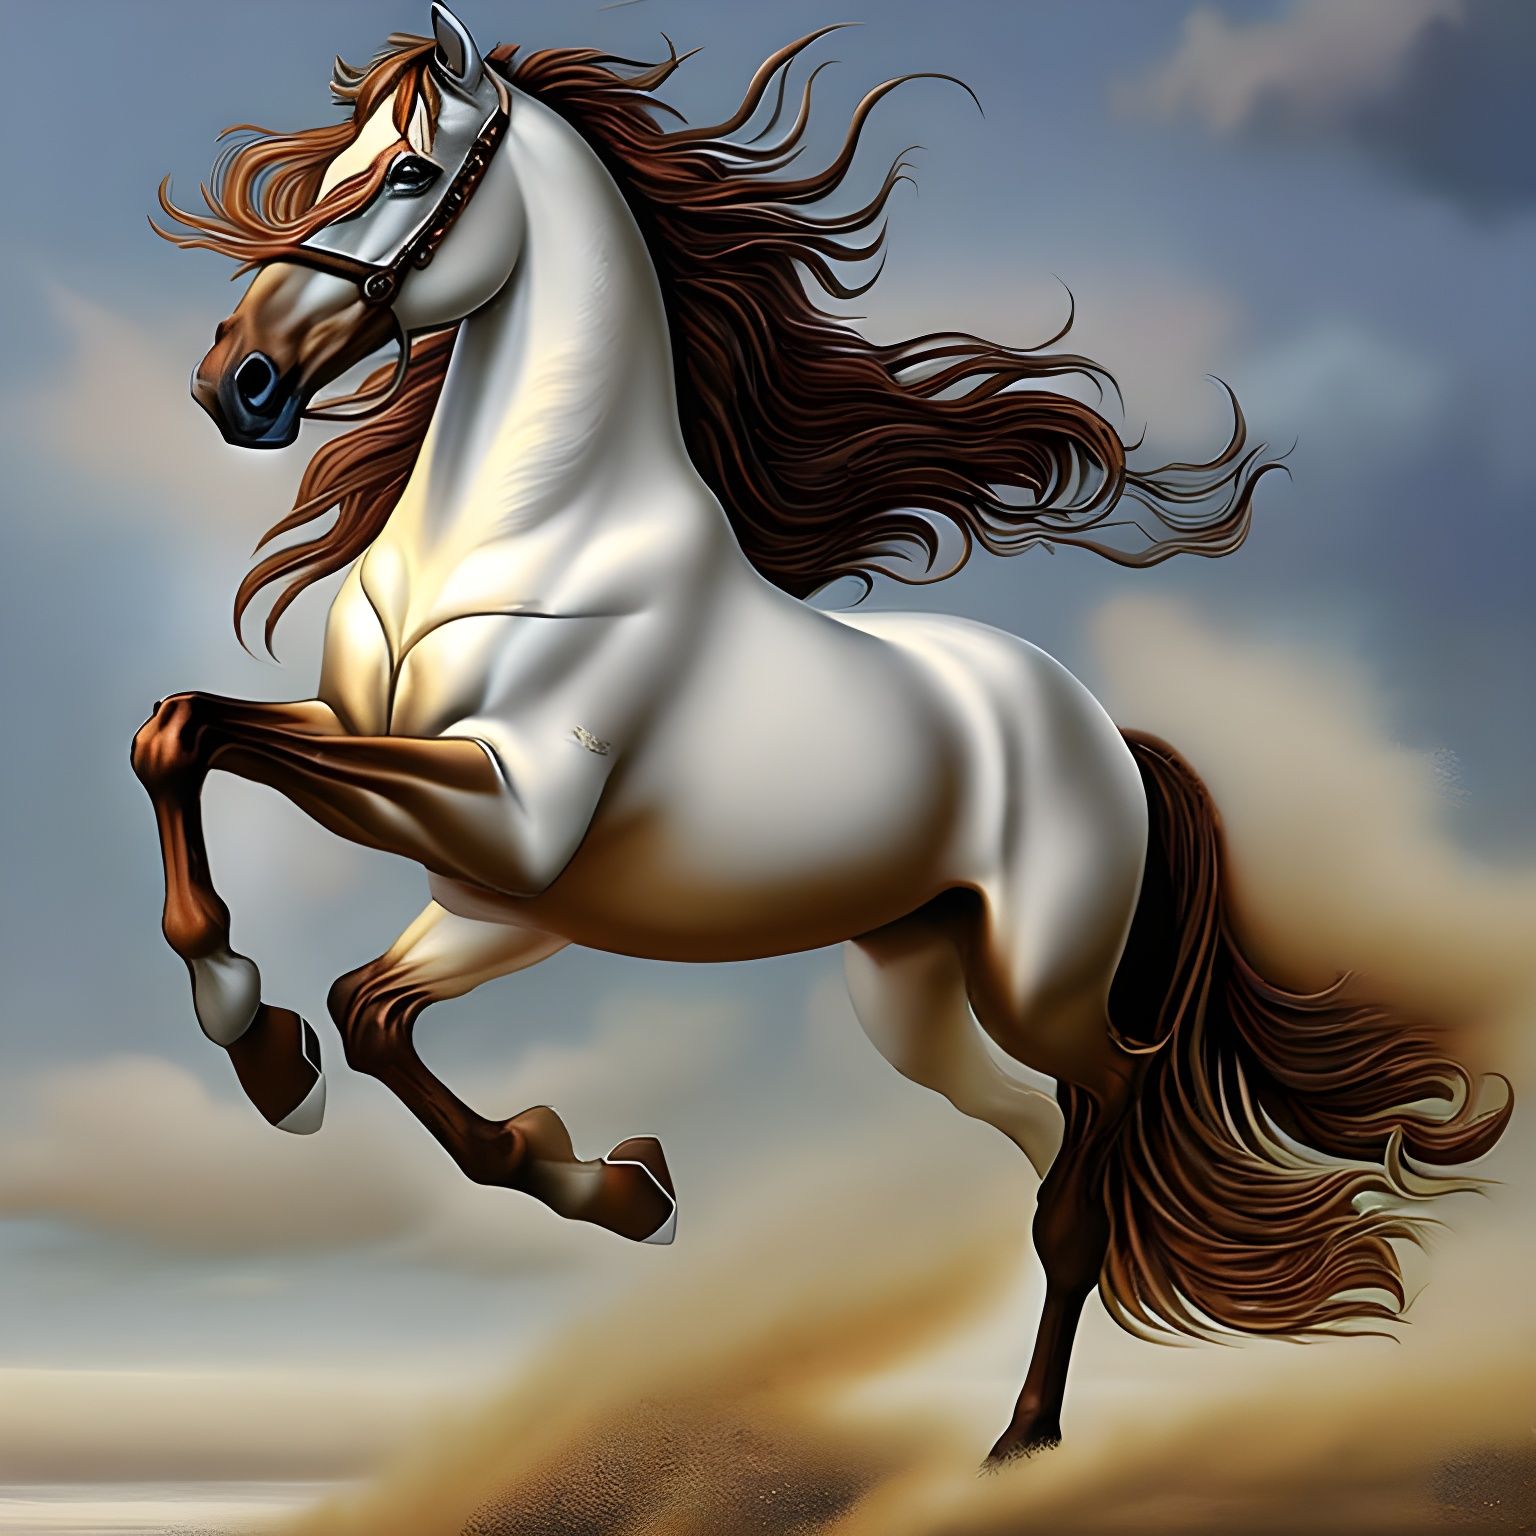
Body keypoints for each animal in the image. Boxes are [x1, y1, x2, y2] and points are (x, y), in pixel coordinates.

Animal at [137, 6, 1512, 1462]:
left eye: (404, 174)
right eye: (329, 165)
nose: (236, 383)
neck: (527, 535)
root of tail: (1107, 736)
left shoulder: (509, 832)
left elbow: (224, 768)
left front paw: (258, 1031)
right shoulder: (489, 882)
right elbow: (233, 813)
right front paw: (580, 1171)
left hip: (1045, 985)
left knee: (1100, 1141)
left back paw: (1022, 1444)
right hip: (912, 996)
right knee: (1039, 1144)